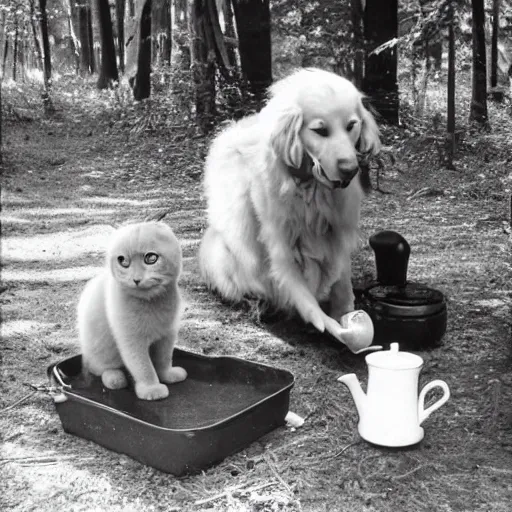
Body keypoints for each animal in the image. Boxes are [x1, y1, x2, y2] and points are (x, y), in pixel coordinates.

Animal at [78, 220, 186, 400]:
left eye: (151, 258)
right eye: (122, 261)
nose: (136, 279)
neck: (151, 302)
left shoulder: (167, 334)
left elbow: (164, 359)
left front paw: (168, 375)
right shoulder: (132, 340)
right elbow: (144, 367)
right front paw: (152, 389)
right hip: (100, 350)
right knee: (99, 368)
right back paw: (115, 379)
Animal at [200, 66, 380, 342]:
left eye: (352, 125)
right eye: (320, 130)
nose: (350, 170)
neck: (310, 189)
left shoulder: (338, 231)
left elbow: (342, 278)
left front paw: (345, 311)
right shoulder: (281, 242)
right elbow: (297, 286)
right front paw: (324, 320)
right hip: (223, 251)